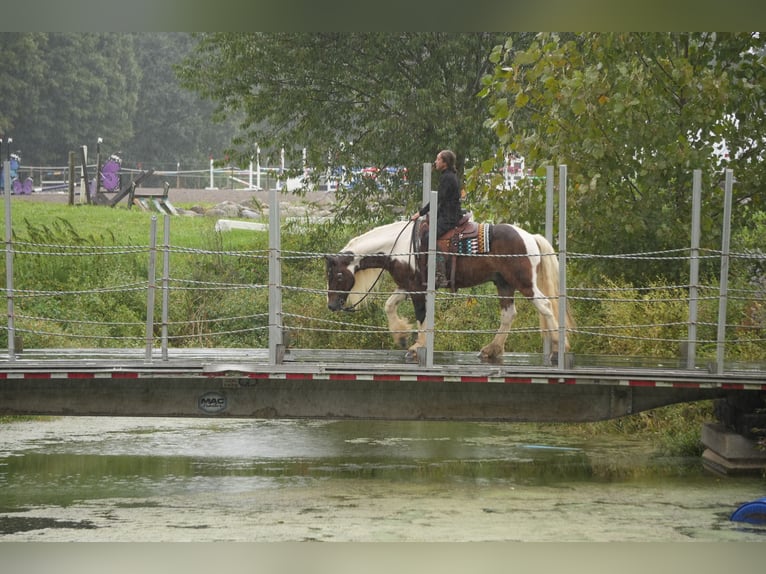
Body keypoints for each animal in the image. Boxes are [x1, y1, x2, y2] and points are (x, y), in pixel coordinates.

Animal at [325, 218, 574, 362]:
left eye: (338, 275)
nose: (332, 305)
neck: (399, 246)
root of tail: (529, 236)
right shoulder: (407, 285)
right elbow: (389, 305)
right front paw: (401, 335)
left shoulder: (417, 289)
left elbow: (422, 316)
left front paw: (417, 347)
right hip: (504, 283)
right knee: (508, 315)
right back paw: (492, 349)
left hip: (524, 283)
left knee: (545, 305)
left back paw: (557, 347)